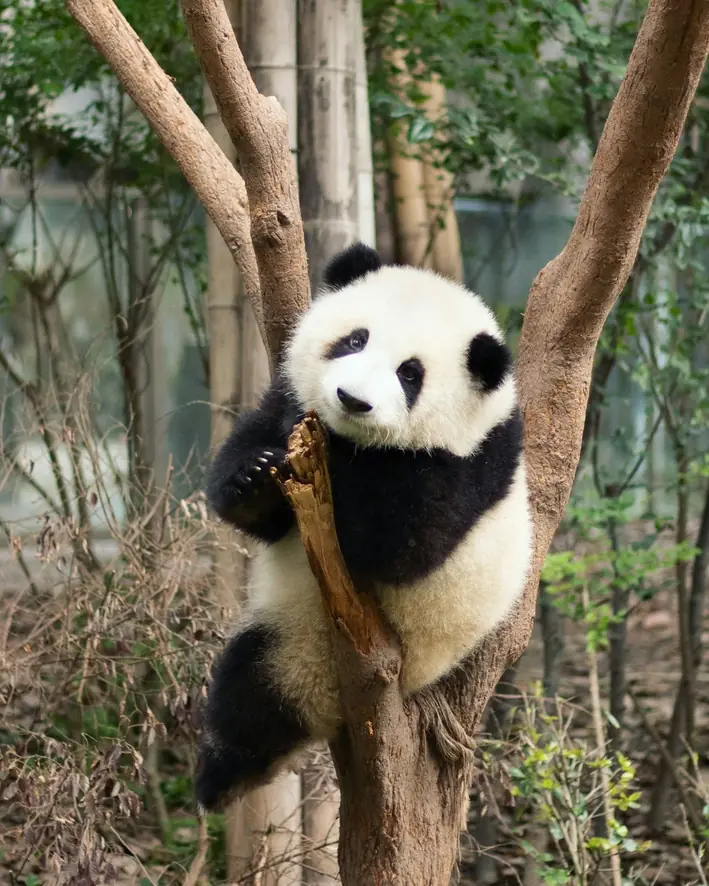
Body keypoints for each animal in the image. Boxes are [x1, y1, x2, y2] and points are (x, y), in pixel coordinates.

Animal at [196, 243, 532, 811]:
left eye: (410, 374)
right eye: (356, 339)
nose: (352, 399)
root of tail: (327, 700)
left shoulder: (465, 464)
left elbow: (403, 546)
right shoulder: (287, 397)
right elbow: (256, 483)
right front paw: (255, 474)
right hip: (287, 635)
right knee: (246, 700)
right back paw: (223, 779)